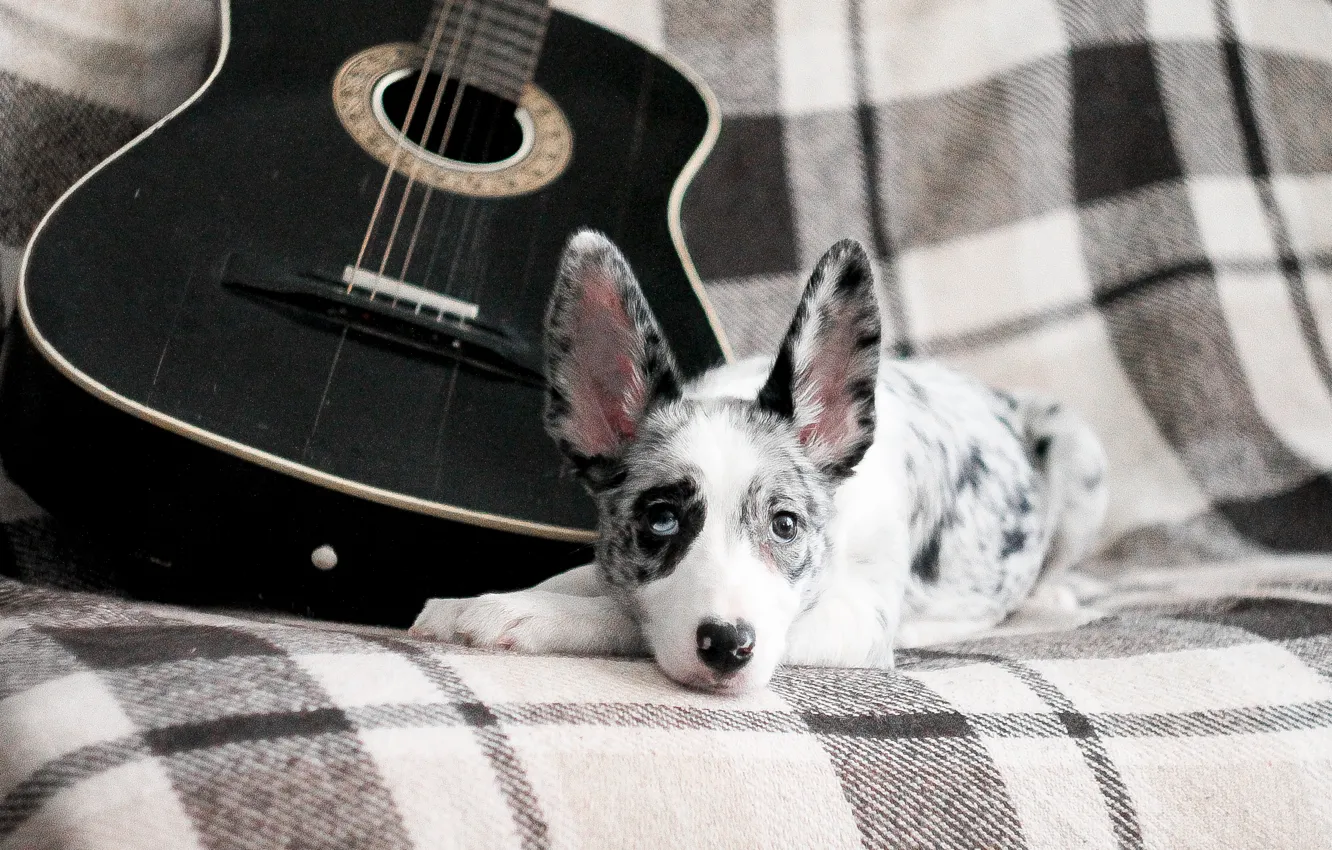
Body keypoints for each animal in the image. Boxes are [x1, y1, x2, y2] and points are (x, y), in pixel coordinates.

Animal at [410, 231, 1108, 692]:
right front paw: (488, 600)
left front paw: (519, 613)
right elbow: (590, 579)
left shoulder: (853, 620)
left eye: (785, 525)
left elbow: (628, 619)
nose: (727, 647)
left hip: (1080, 452)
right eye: (661, 520)